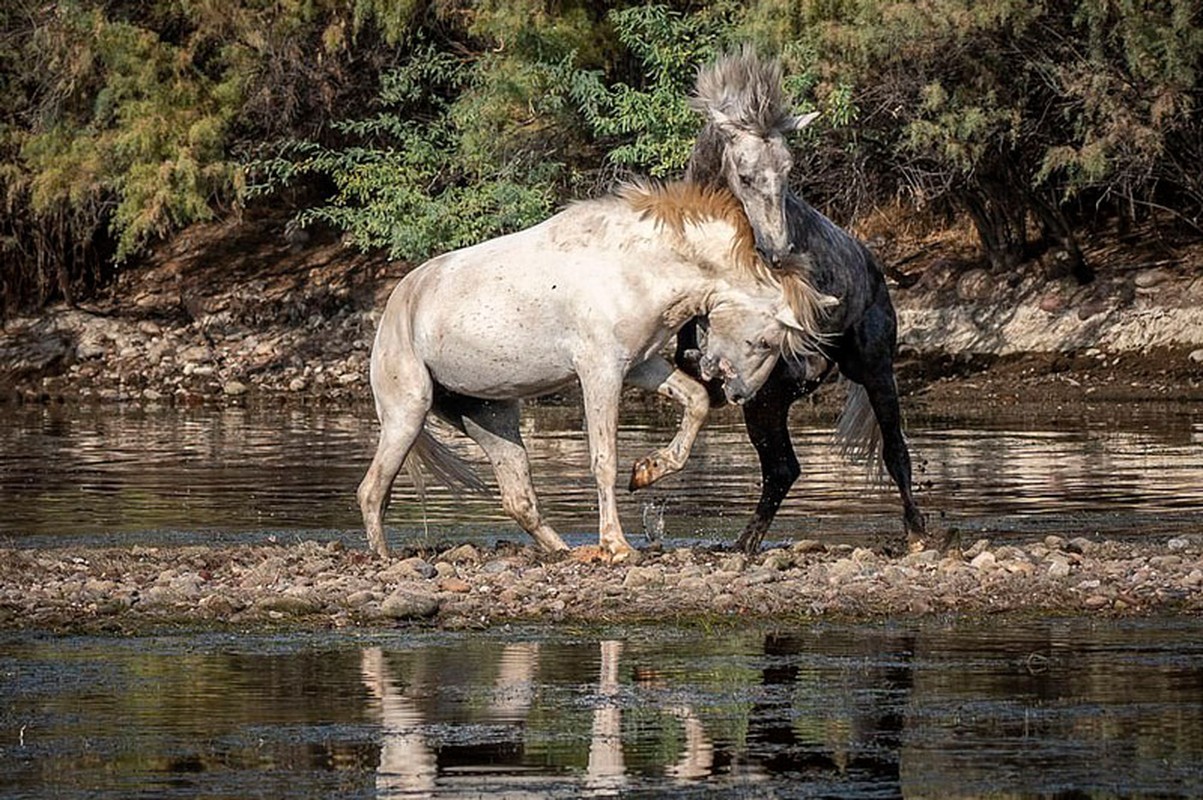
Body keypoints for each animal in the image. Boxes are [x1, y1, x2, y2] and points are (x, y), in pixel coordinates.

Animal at [351, 179, 832, 560]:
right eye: (766, 341)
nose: (739, 394)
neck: (636, 267)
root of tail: (397, 303)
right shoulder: (601, 372)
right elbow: (604, 460)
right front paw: (616, 545)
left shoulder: (640, 366)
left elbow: (694, 401)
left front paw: (649, 470)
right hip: (407, 413)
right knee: (372, 489)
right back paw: (383, 557)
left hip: (489, 417)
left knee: (518, 499)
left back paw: (564, 551)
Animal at [678, 48, 928, 548]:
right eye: (745, 175)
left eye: (789, 171)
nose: (776, 251)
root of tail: (875, 267)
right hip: (772, 402)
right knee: (782, 469)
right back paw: (745, 543)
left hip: (874, 371)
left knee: (894, 452)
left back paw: (917, 531)